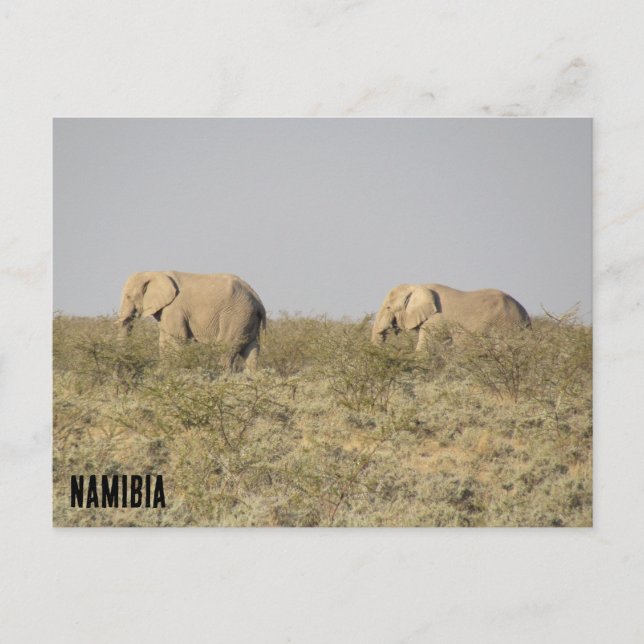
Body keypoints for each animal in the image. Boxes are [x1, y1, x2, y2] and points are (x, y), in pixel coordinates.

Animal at [116, 271, 266, 370]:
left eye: (128, 296)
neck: (154, 273)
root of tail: (258, 301)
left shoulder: (174, 308)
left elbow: (178, 339)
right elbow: (164, 341)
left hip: (235, 316)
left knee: (224, 350)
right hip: (247, 319)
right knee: (251, 351)